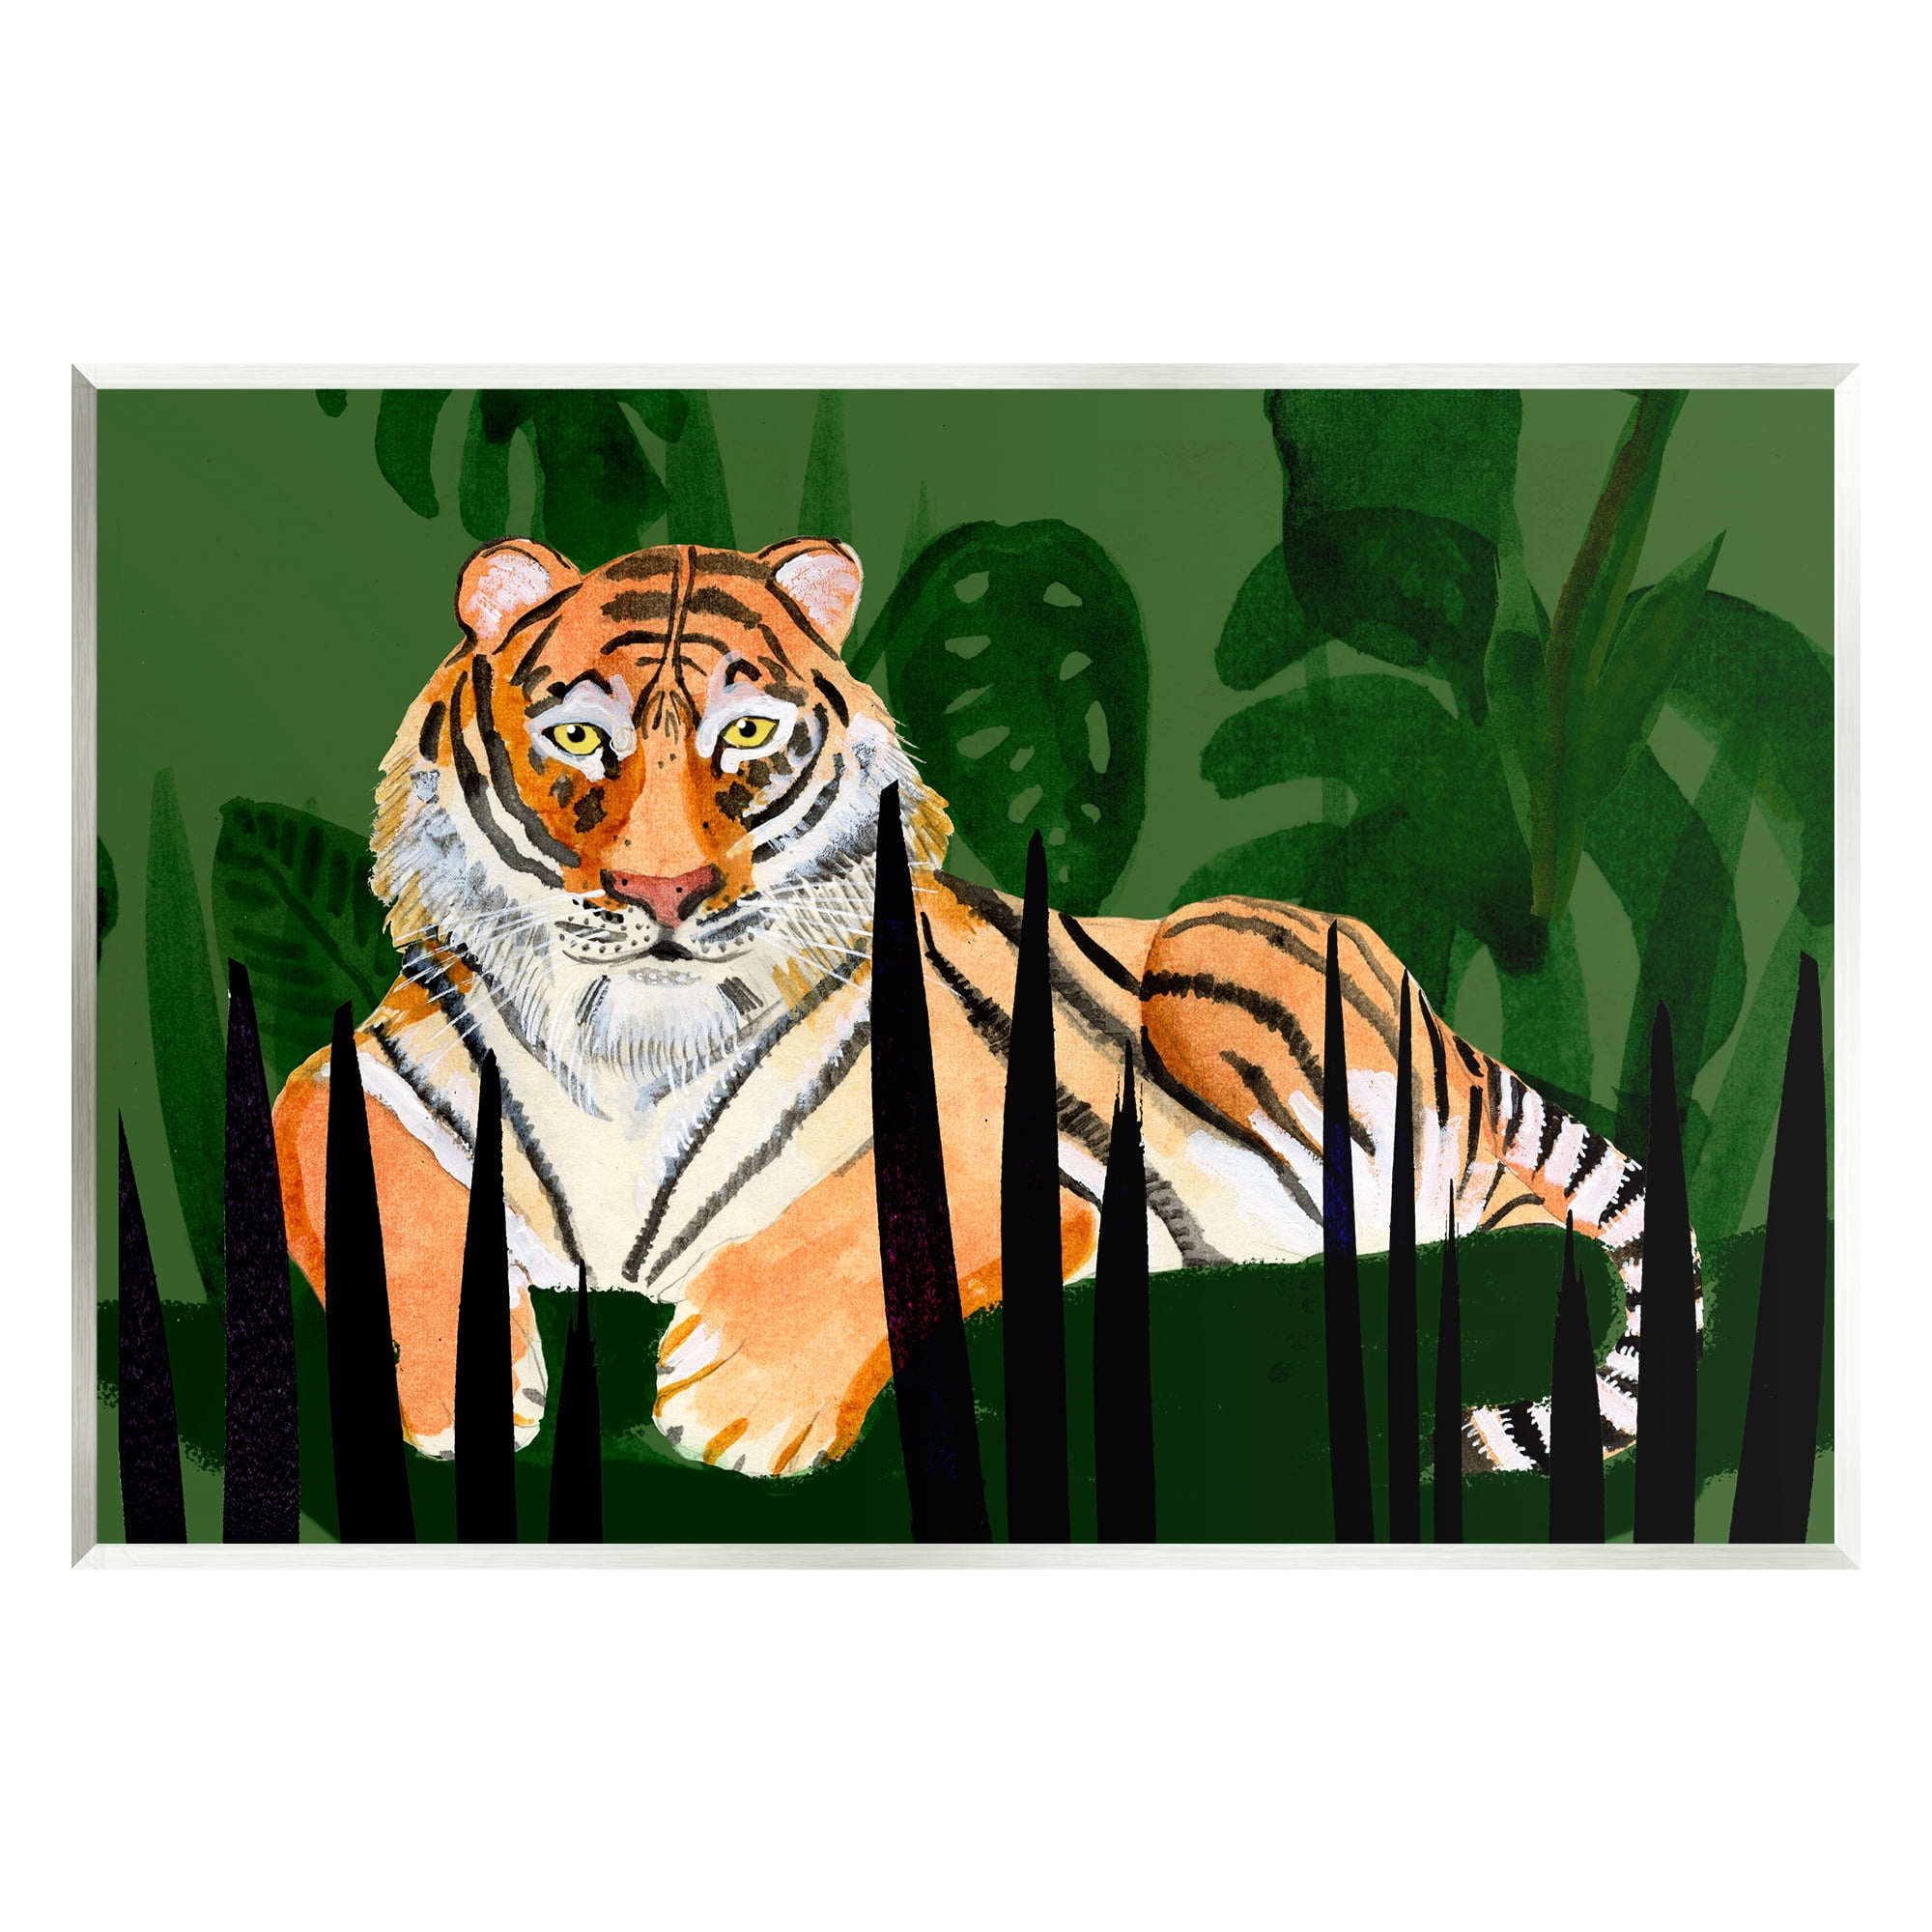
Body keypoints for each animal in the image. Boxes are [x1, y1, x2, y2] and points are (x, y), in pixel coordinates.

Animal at [271, 533, 1699, 1485]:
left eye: (745, 734)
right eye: (578, 740)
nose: (664, 890)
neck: (632, 1039)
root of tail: (1455, 1031)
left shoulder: (1006, 1155)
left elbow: (862, 1232)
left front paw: (736, 1401)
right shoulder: (346, 1078)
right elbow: (380, 1204)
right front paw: (460, 1389)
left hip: (1227, 981)